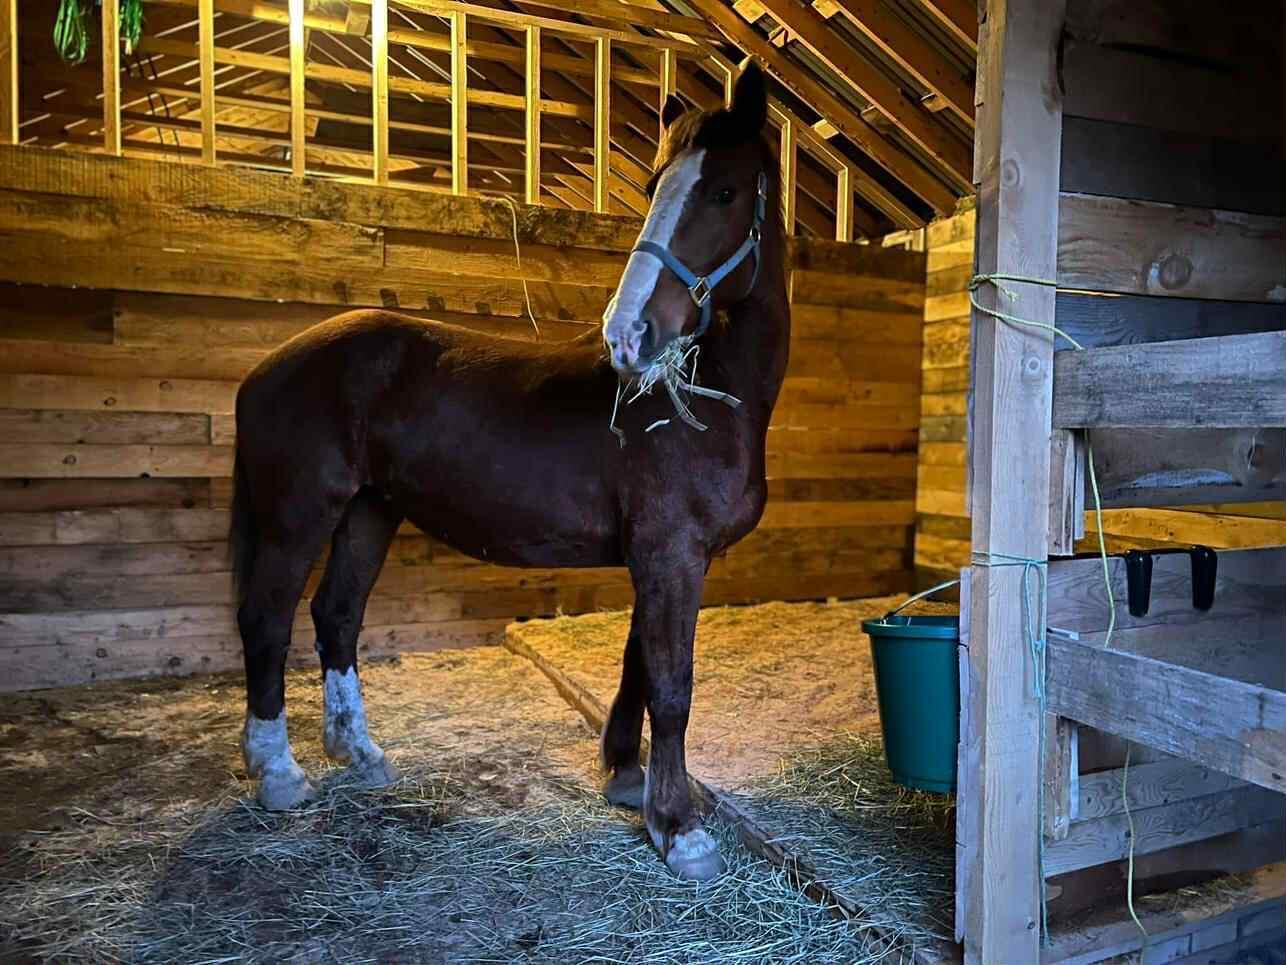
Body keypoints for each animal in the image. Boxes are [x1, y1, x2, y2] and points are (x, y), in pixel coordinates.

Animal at [228, 62, 789, 881]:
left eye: (723, 191)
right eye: (657, 185)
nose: (629, 333)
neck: (710, 393)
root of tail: (265, 369)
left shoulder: (665, 557)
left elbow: (637, 667)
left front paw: (627, 779)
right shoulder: (671, 555)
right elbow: (670, 685)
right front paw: (678, 829)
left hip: (370, 511)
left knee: (336, 615)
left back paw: (360, 754)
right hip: (300, 514)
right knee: (267, 619)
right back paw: (279, 774)